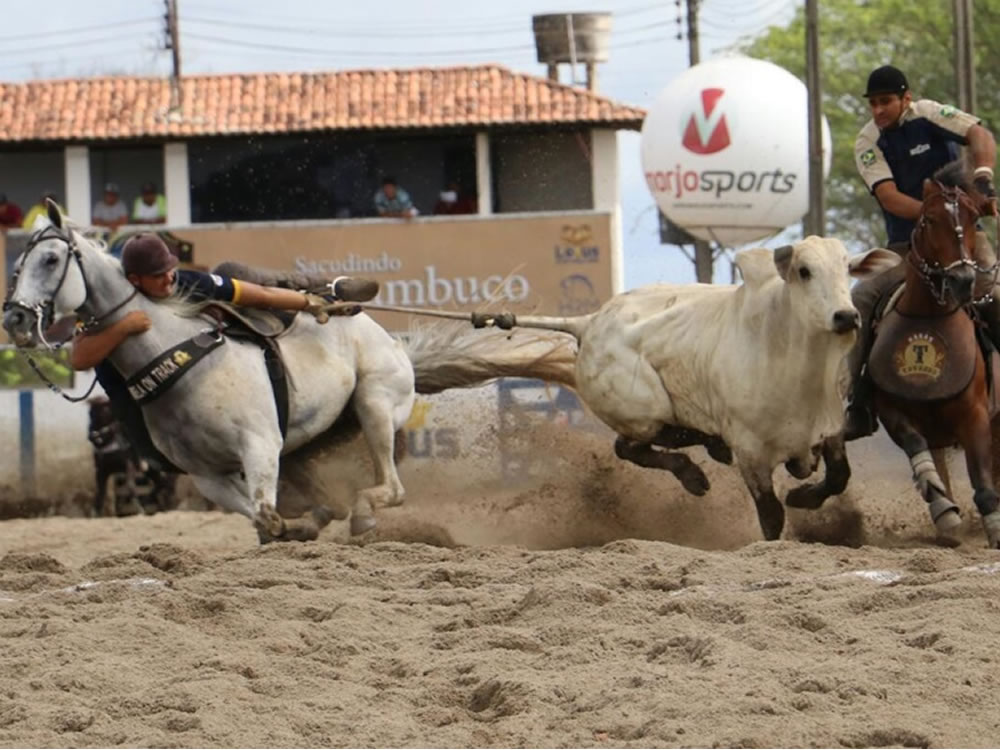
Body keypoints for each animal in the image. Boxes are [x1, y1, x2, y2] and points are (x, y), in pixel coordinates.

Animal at [3, 206, 576, 544]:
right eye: (19, 262)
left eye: (51, 259)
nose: (15, 319)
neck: (176, 355)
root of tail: (397, 345)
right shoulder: (209, 475)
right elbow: (265, 518)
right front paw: (302, 527)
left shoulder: (258, 446)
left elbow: (269, 514)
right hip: (307, 444)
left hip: (374, 406)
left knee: (390, 488)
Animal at [500, 238, 900, 536]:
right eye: (804, 271)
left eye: (847, 269)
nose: (846, 316)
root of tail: (589, 321)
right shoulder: (751, 454)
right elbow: (771, 516)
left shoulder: (828, 429)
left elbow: (838, 477)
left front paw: (804, 498)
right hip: (644, 412)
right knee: (631, 446)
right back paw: (694, 475)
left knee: (649, 442)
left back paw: (709, 452)